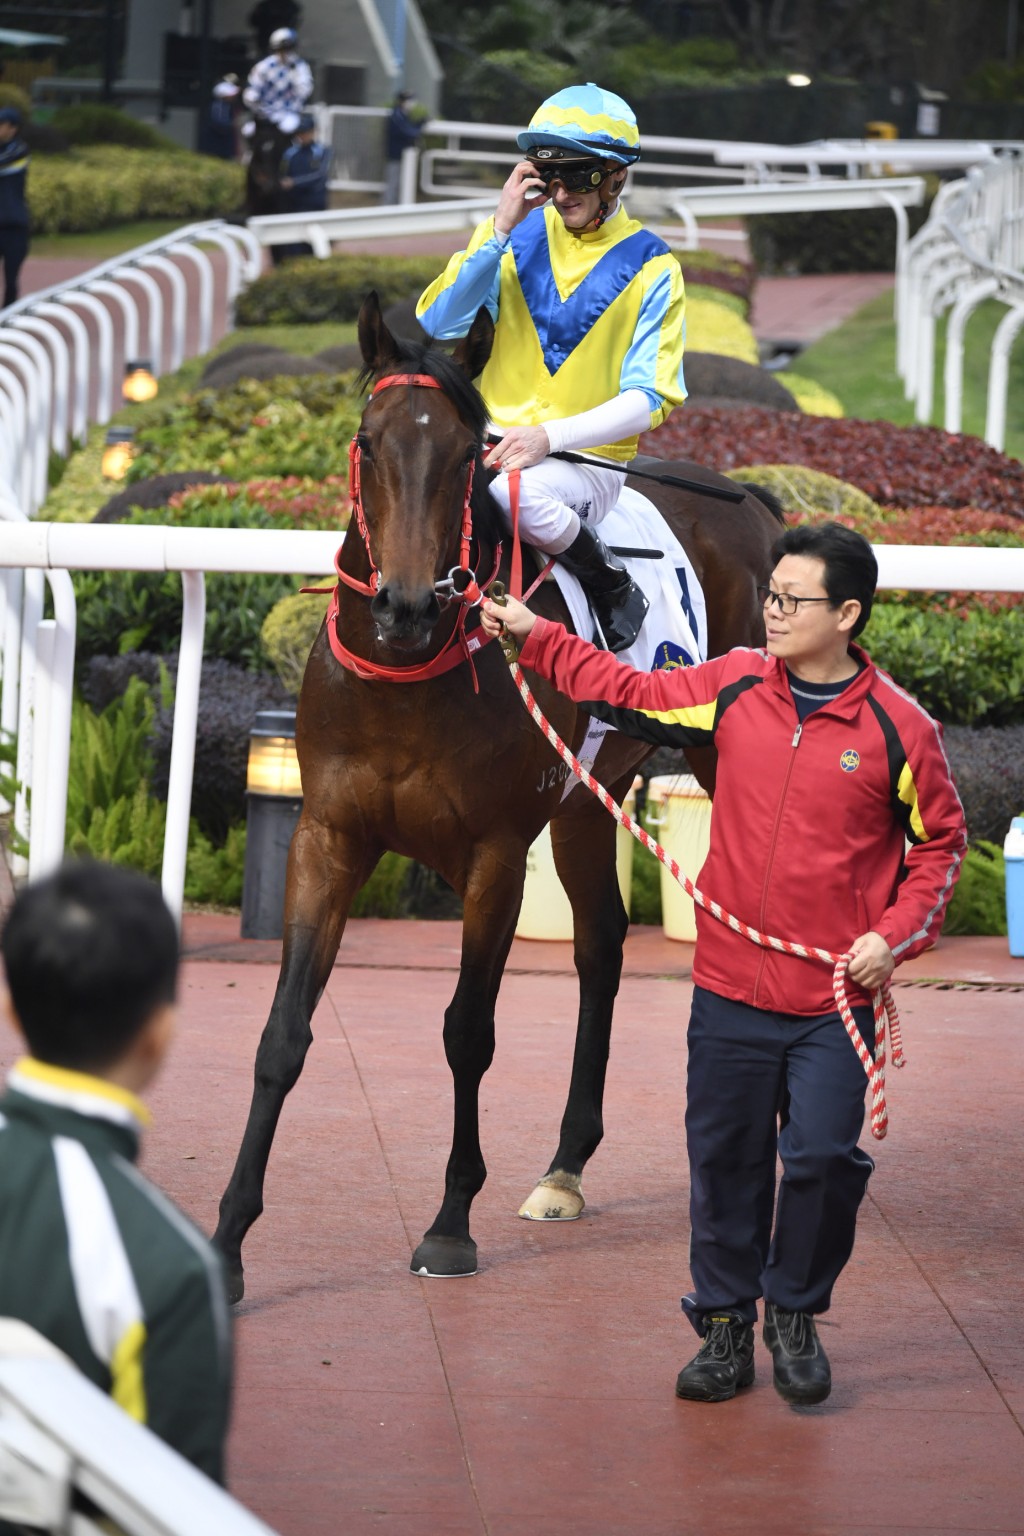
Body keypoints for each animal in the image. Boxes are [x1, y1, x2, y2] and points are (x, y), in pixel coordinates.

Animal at [211, 290, 779, 1296]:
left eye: (467, 455)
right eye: (366, 441)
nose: (404, 605)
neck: (409, 679)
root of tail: (751, 500)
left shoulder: (494, 855)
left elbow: (467, 1031)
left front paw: (448, 1224)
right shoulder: (329, 836)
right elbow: (284, 1034)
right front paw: (228, 1242)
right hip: (589, 799)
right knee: (602, 947)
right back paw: (566, 1164)